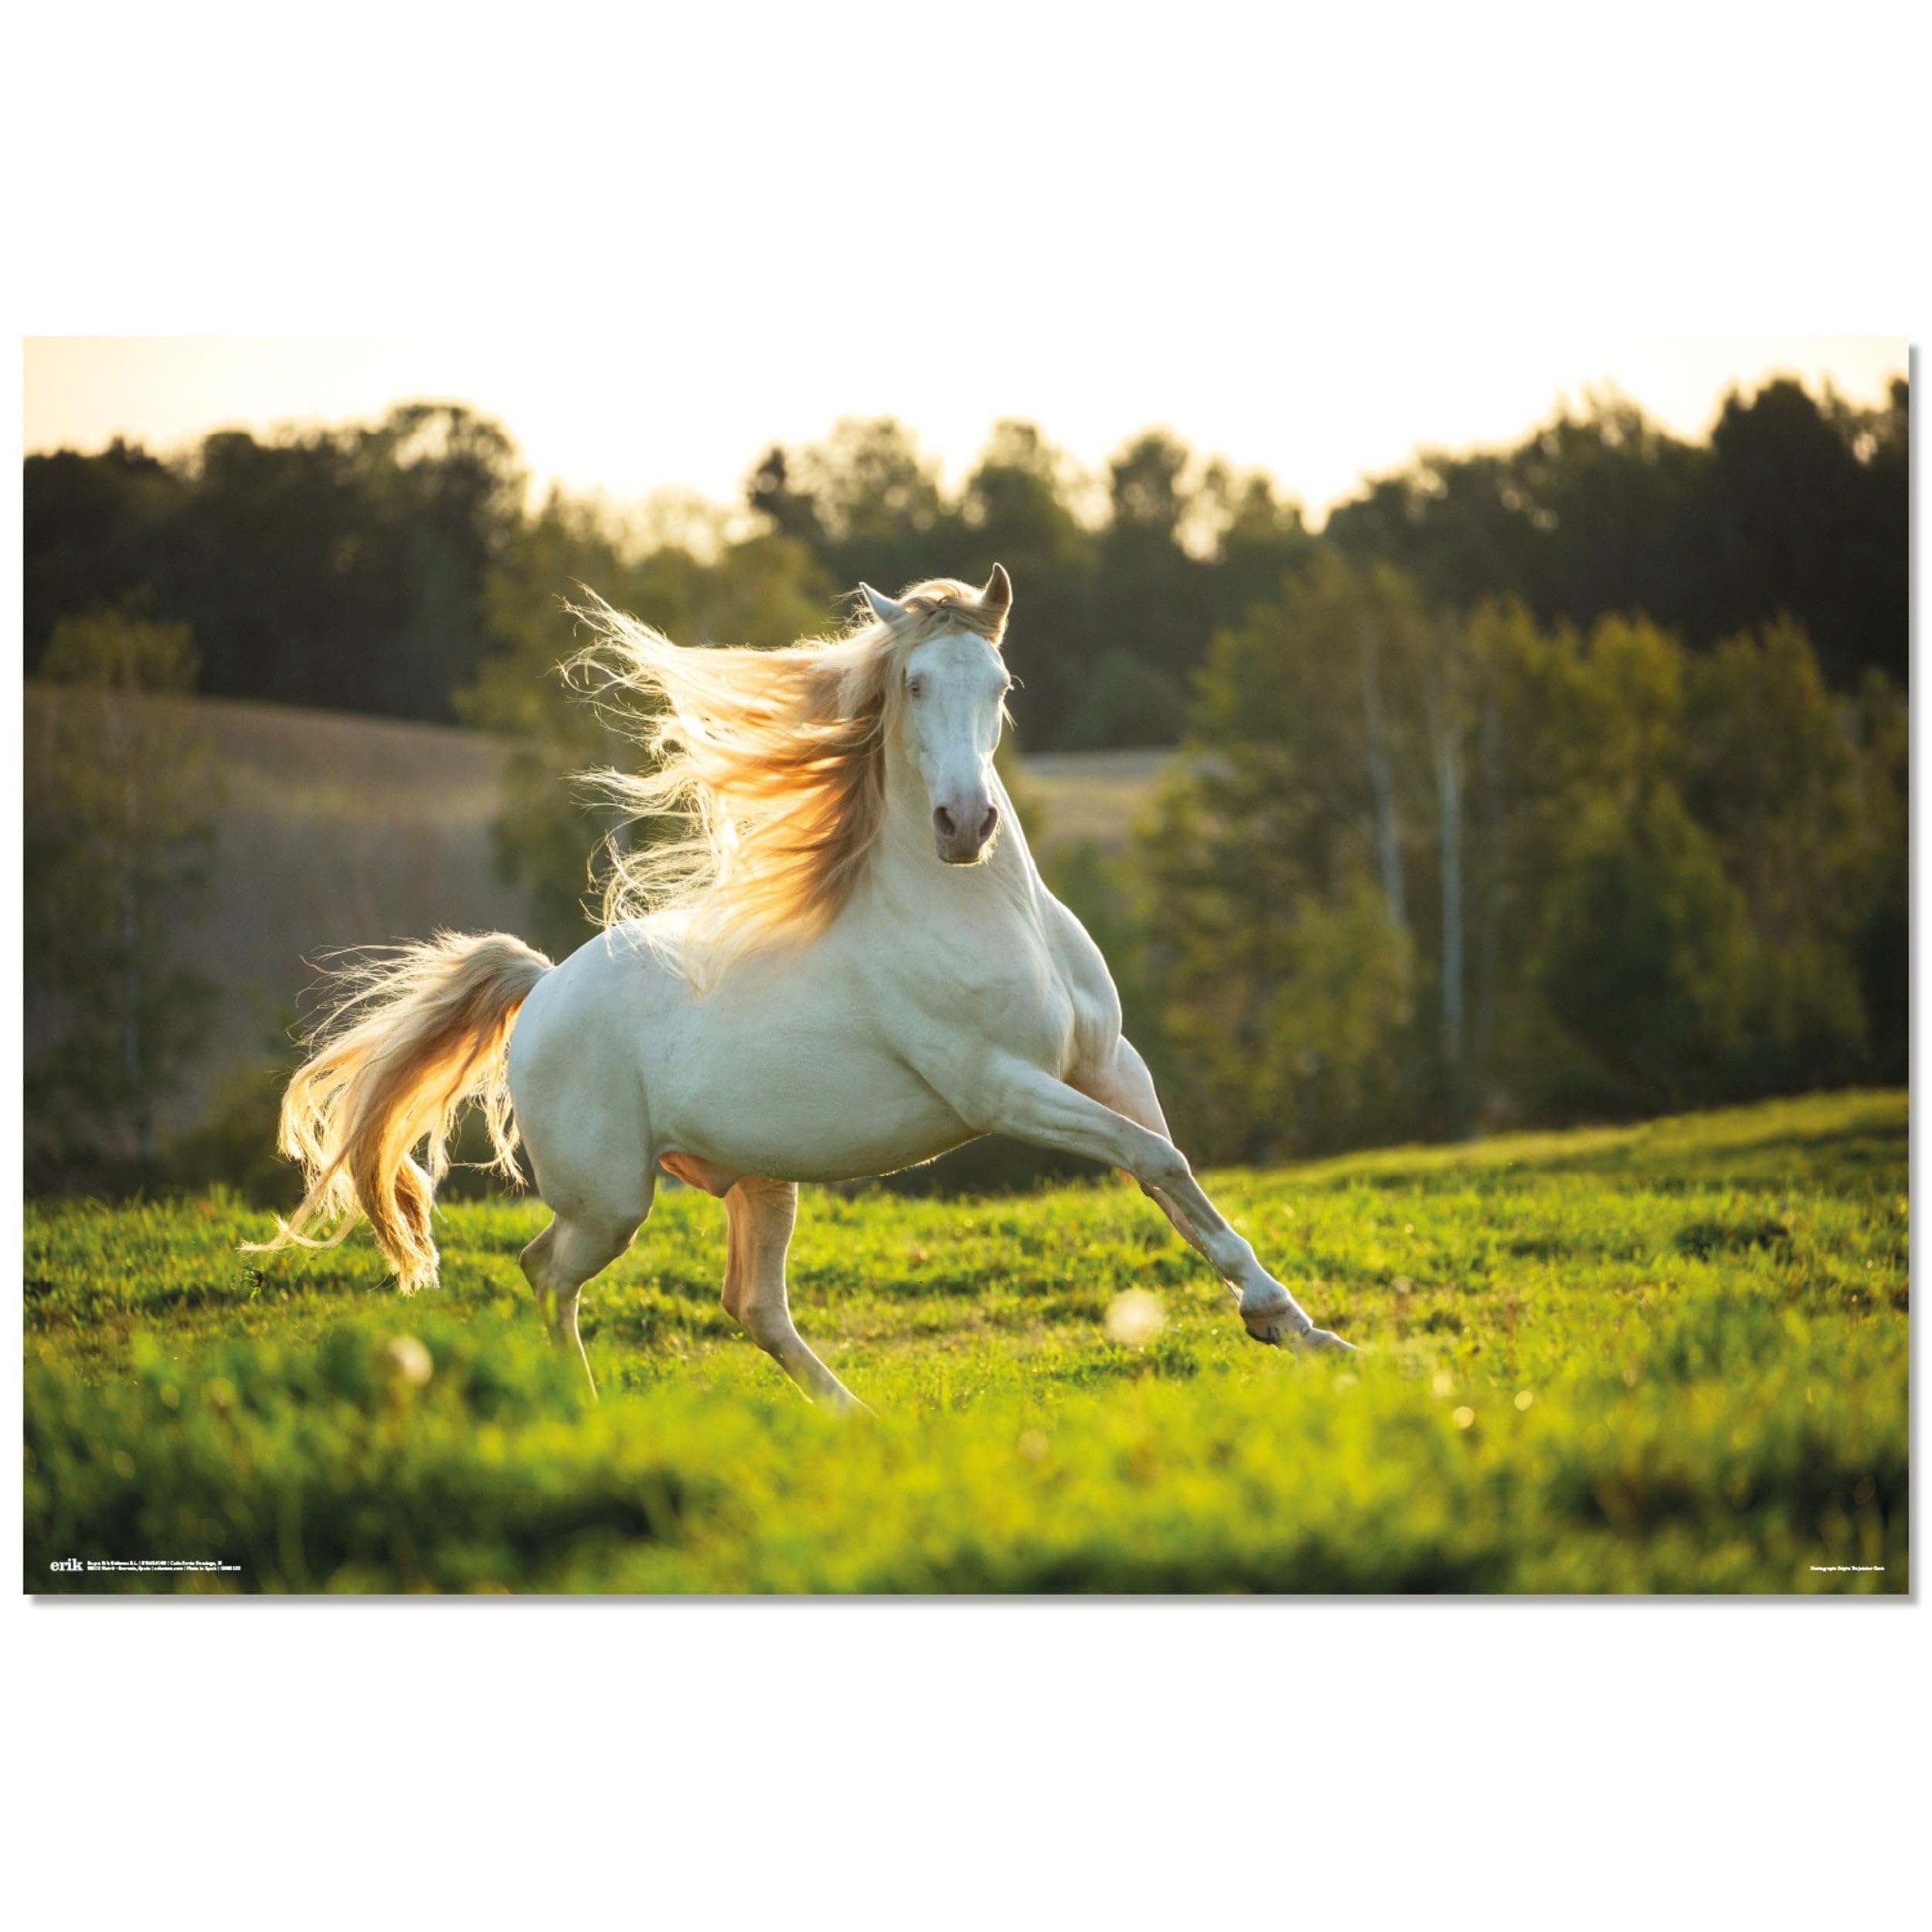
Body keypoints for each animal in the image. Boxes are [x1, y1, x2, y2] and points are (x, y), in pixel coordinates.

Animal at [248, 566, 1352, 1408]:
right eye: (914, 683)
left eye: (1000, 681)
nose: (964, 824)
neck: (985, 915)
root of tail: (544, 984)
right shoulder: (1002, 1088)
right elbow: (1154, 1160)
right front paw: (1281, 1326)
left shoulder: (1108, 1064)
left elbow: (1176, 1178)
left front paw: (1300, 1330)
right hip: (613, 1200)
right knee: (546, 1270)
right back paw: (588, 1408)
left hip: (757, 1179)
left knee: (751, 1304)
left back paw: (853, 1417)